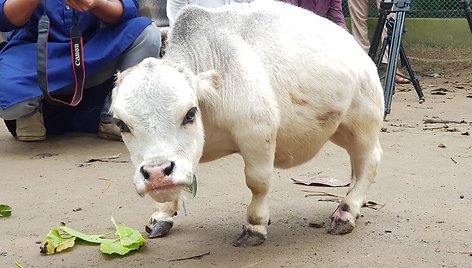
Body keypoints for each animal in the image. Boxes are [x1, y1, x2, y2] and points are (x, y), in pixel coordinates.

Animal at [112, 1, 386, 247]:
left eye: (189, 113)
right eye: (121, 124)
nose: (157, 173)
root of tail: (358, 51)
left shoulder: (257, 132)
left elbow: (257, 182)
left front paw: (255, 225)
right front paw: (163, 214)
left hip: (362, 124)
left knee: (370, 161)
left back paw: (346, 211)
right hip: (340, 129)